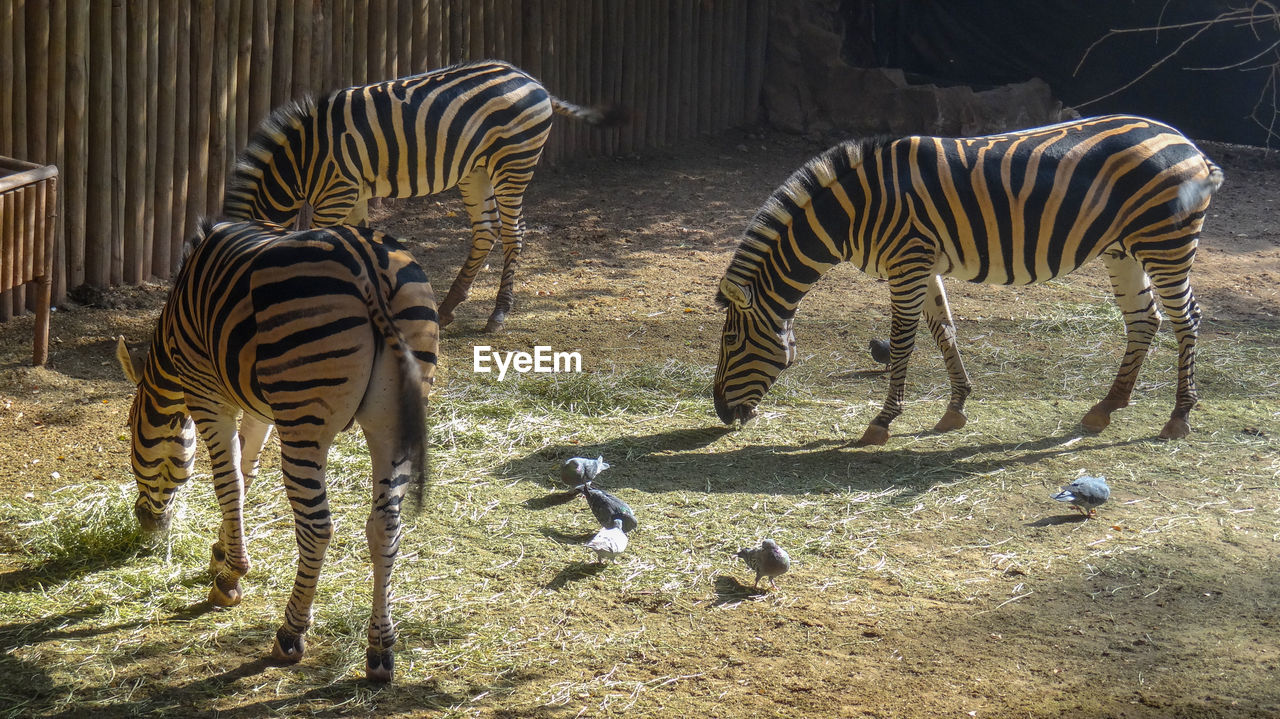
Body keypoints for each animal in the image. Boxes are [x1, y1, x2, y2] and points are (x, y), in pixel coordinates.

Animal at [120, 221, 440, 680]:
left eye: (131, 433)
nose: (145, 522)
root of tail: (367, 261)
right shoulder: (258, 408)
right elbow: (246, 471)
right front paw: (222, 552)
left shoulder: (207, 393)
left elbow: (228, 483)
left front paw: (230, 578)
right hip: (391, 420)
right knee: (386, 526)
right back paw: (380, 648)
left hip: (305, 421)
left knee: (318, 528)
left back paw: (291, 634)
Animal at [224, 58, 624, 332]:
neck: (300, 160)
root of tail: (530, 80)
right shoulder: (353, 194)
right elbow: (359, 244)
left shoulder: (337, 193)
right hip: (476, 170)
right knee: (486, 230)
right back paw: (447, 308)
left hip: (513, 162)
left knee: (514, 232)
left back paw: (498, 313)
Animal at [716, 112, 1223, 442]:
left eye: (731, 342)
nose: (720, 412)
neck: (853, 210)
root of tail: (1188, 143)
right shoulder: (921, 263)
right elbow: (944, 329)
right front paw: (955, 408)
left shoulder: (908, 261)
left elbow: (903, 340)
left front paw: (882, 422)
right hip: (1123, 249)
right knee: (1144, 319)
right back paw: (1106, 407)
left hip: (1166, 243)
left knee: (1187, 319)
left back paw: (1178, 417)